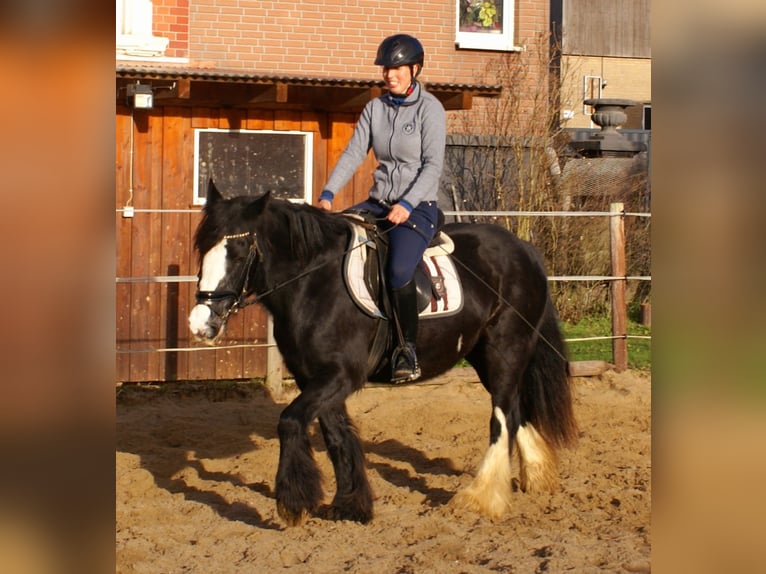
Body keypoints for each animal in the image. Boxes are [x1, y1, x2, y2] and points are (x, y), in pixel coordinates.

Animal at [190, 182, 576, 528]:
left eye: (239, 252)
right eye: (203, 248)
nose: (200, 323)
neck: (314, 282)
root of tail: (524, 249)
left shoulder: (340, 375)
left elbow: (290, 421)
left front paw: (294, 503)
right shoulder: (314, 377)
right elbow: (337, 436)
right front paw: (351, 506)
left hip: (506, 348)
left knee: (502, 415)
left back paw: (481, 498)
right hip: (483, 354)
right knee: (514, 409)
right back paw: (535, 475)